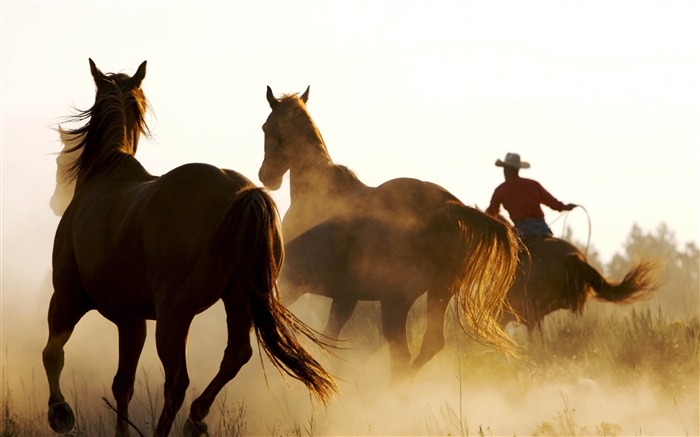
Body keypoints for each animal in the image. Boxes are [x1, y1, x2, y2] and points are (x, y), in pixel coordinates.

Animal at [41, 60, 336, 436]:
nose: (54, 201)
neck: (104, 174)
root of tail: (242, 195)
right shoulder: (131, 320)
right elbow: (122, 384)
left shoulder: (66, 297)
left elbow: (53, 353)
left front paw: (60, 412)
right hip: (237, 300)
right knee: (235, 356)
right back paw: (196, 418)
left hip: (174, 315)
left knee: (177, 382)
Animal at [260, 86, 524, 378]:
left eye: (266, 127)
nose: (266, 176)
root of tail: (449, 207)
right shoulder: (345, 297)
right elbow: (329, 338)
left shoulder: (293, 281)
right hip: (437, 292)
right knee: (428, 345)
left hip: (396, 302)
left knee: (402, 355)